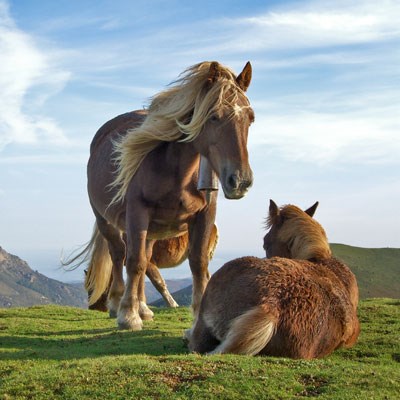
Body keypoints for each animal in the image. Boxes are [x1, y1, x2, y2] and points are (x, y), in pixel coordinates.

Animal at [66, 61, 253, 328]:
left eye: (250, 118)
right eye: (214, 116)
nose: (240, 181)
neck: (176, 171)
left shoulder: (205, 214)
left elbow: (198, 264)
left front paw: (197, 316)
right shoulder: (137, 213)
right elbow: (134, 262)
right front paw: (128, 316)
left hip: (152, 230)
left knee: (144, 259)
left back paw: (143, 307)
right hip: (107, 221)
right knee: (119, 255)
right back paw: (118, 303)